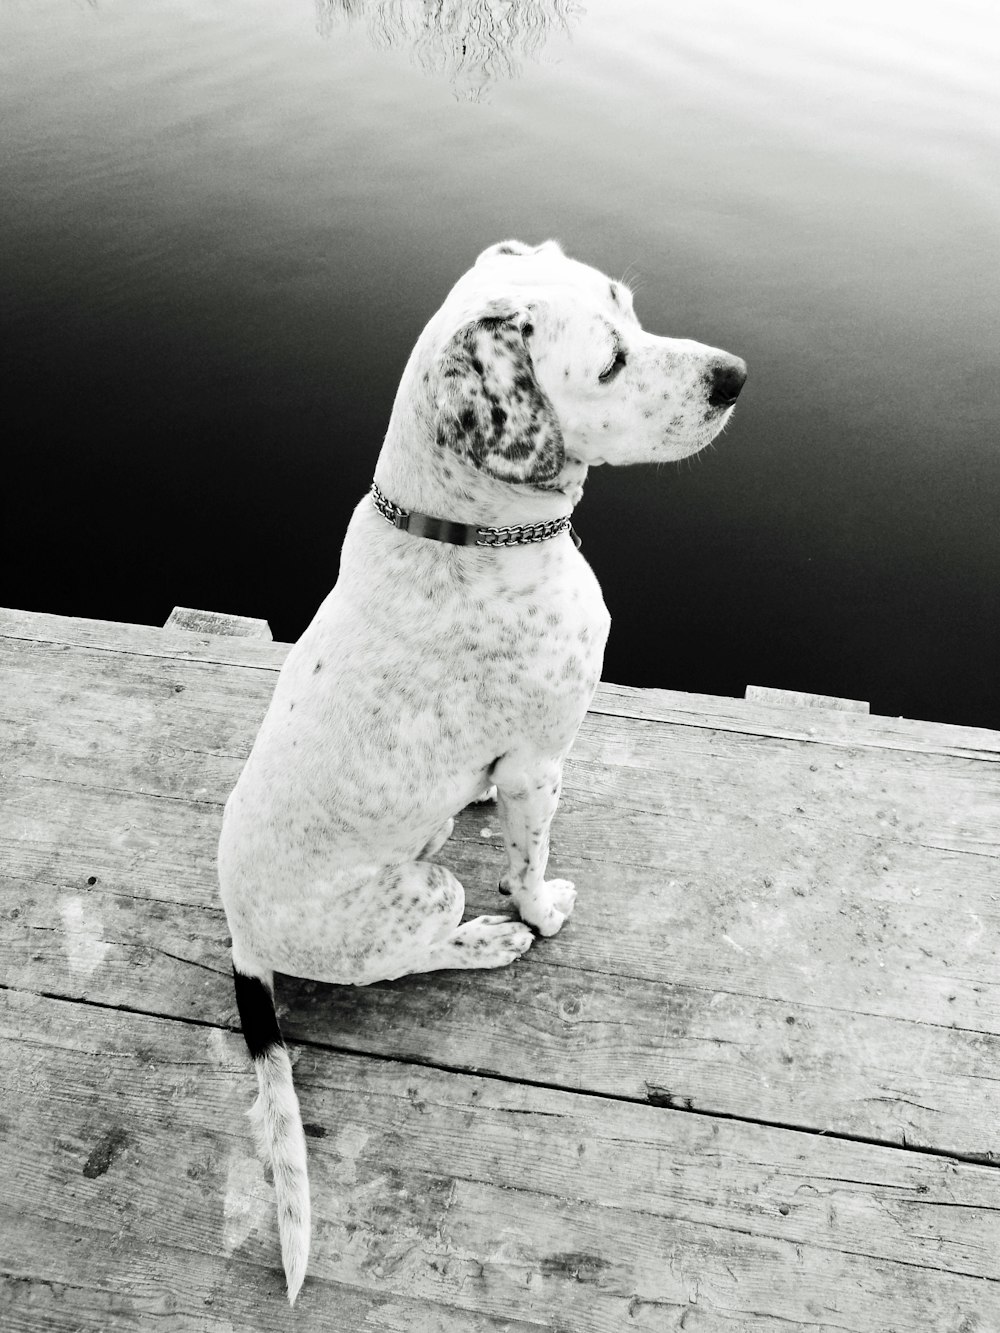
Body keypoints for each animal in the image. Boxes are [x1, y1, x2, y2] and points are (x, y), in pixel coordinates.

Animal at [221, 239, 752, 1301]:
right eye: (610, 364)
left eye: (633, 309)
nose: (734, 377)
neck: (462, 530)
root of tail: (240, 937)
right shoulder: (542, 761)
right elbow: (528, 860)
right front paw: (540, 913)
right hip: (421, 896)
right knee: (413, 954)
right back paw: (487, 941)